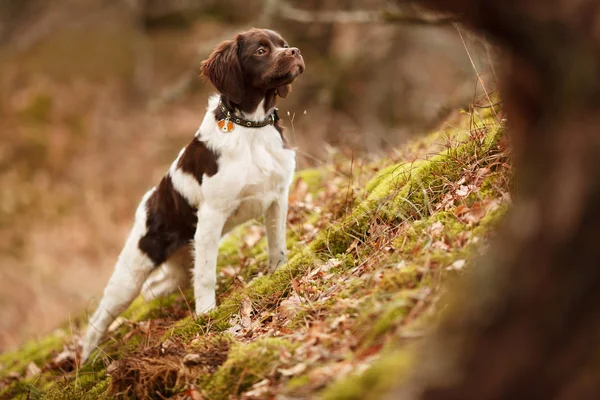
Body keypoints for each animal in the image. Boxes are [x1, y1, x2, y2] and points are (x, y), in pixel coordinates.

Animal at [80, 26, 304, 360]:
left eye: (284, 44)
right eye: (261, 50)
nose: (296, 52)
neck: (251, 128)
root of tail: (146, 203)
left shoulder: (277, 196)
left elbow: (277, 245)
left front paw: (279, 272)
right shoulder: (212, 216)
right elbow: (207, 275)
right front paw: (207, 314)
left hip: (180, 260)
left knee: (160, 287)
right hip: (133, 270)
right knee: (101, 316)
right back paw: (86, 358)